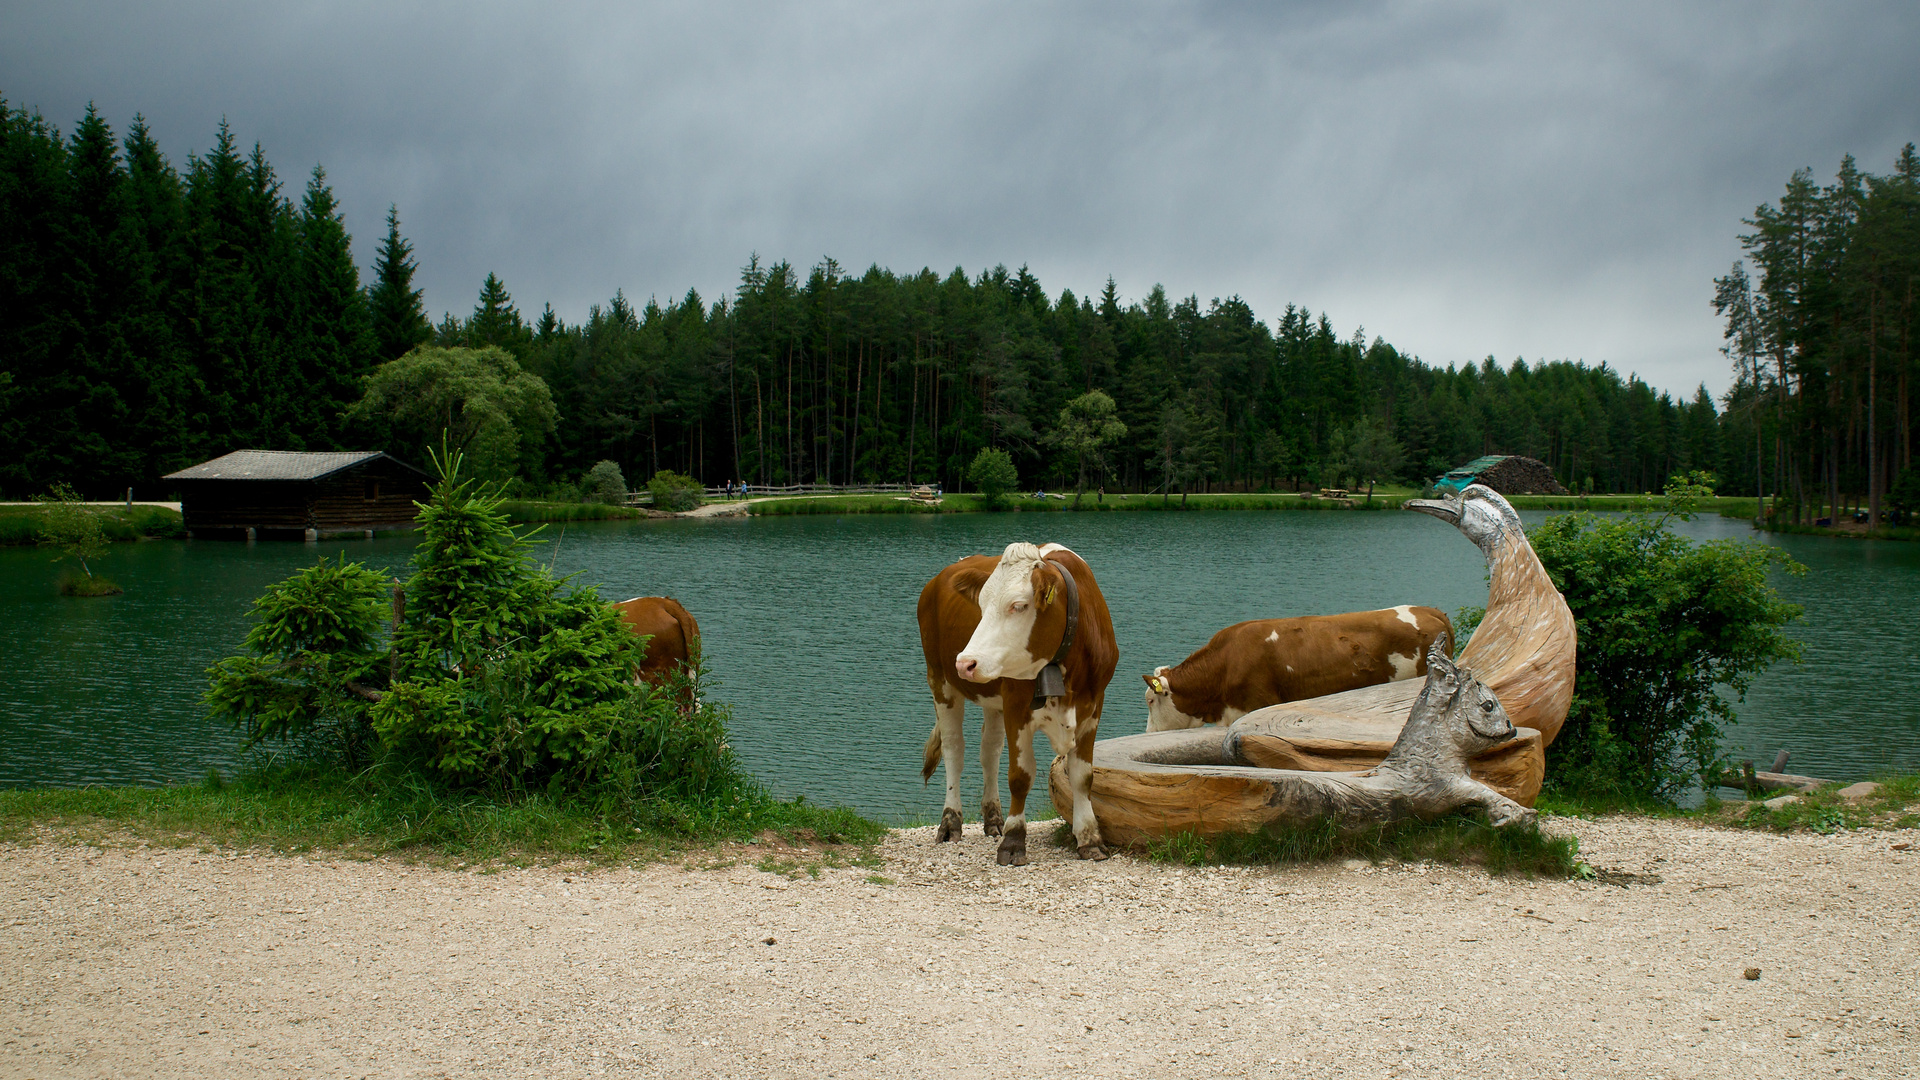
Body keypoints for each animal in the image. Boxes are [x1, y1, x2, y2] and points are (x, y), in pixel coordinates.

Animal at [917, 541, 1121, 860]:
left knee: (989, 750)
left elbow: (1083, 776)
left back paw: (993, 818)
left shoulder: (1093, 706)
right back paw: (951, 823)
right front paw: (1013, 841)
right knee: (954, 749)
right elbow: (1020, 776)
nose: (965, 663)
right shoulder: (1016, 706)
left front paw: (1089, 838)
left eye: (1019, 605)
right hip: (940, 680)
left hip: (993, 698)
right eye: (981, 605)